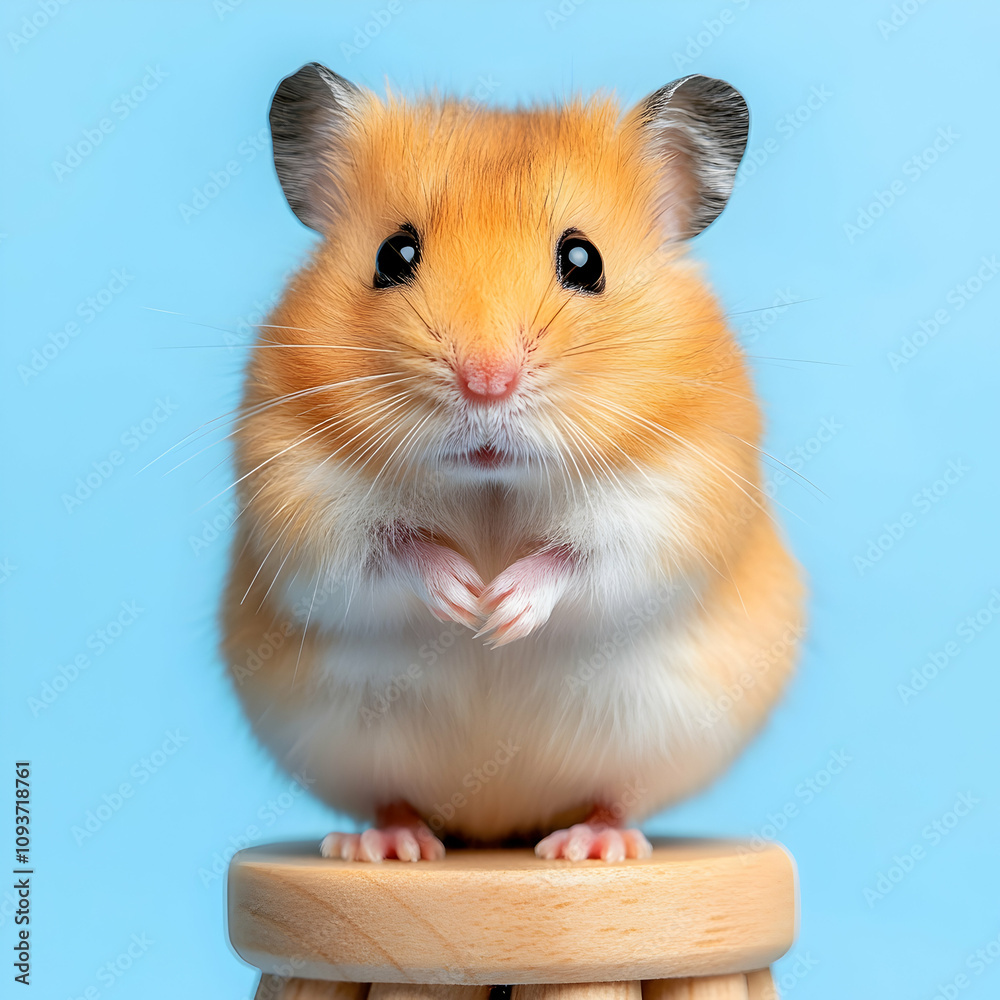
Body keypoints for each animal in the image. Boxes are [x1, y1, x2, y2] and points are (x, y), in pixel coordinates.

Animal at [221, 63, 804, 863]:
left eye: (585, 260)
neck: (490, 485)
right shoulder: (297, 488)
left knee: (618, 795)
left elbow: (583, 557)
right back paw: (386, 846)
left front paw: (500, 612)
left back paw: (591, 846)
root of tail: (495, 823)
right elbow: (385, 547)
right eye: (393, 255)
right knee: (388, 796)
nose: (486, 383)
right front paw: (465, 599)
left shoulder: (674, 492)